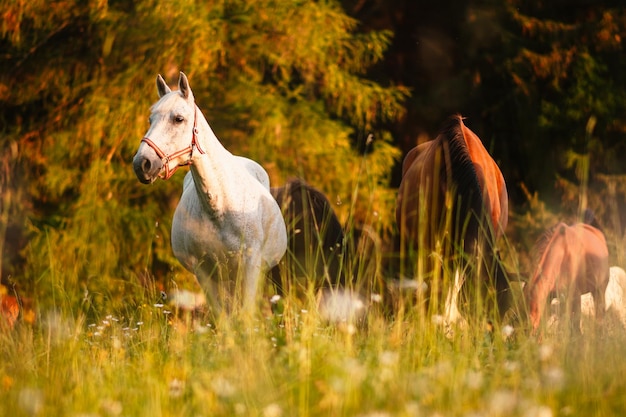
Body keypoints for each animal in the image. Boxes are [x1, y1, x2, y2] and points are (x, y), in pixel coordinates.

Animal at [133, 72, 288, 312]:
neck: (221, 207)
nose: (142, 164)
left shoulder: (251, 268)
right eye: (151, 119)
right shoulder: (205, 273)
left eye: (178, 119)